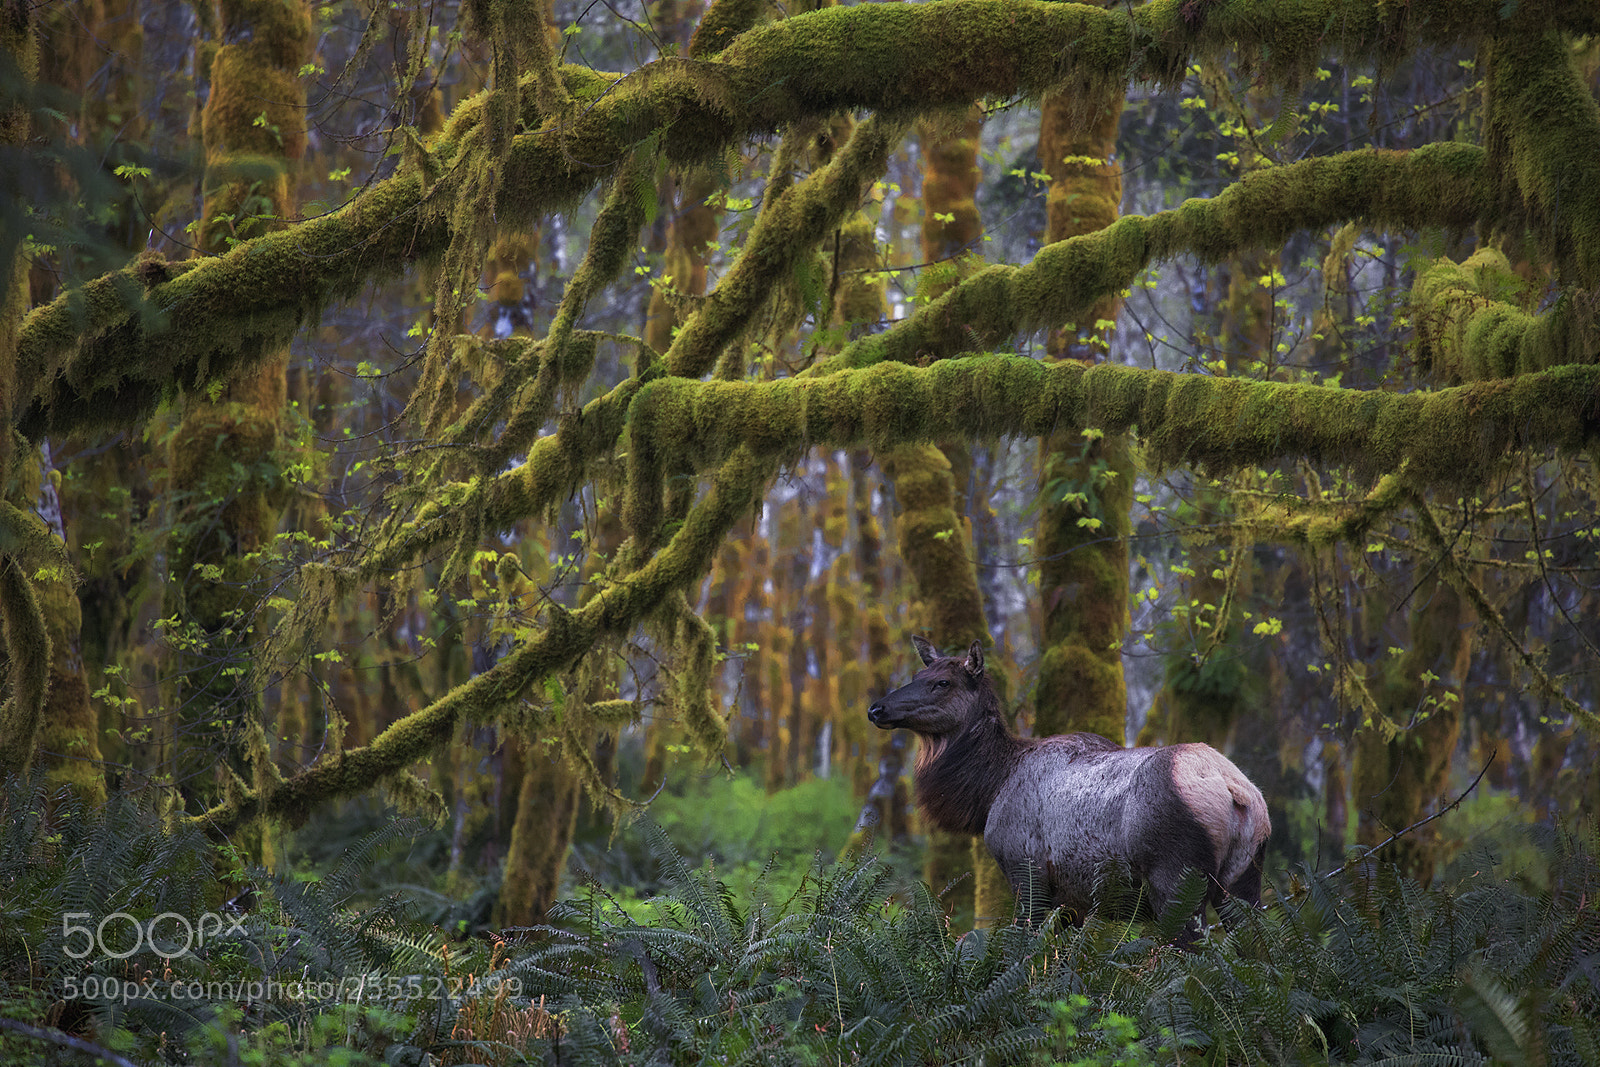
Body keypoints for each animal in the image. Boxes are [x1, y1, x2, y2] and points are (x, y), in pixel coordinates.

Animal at [867, 637, 1269, 935]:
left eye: (942, 682)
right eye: (919, 672)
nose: (876, 709)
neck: (990, 790)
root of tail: (1236, 792)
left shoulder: (1026, 871)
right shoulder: (1072, 901)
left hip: (1177, 878)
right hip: (1243, 880)